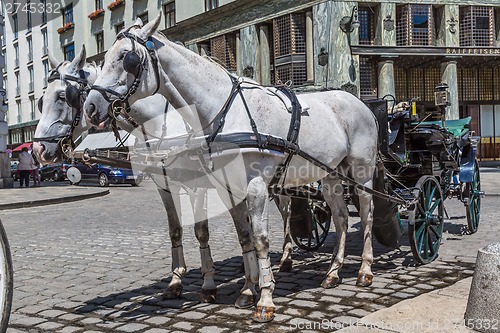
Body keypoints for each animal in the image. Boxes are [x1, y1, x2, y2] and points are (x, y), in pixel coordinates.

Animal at [32, 46, 262, 306]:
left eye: (63, 96)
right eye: (41, 101)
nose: (38, 149)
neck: (165, 124)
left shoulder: (197, 184)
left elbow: (201, 231)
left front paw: (208, 284)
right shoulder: (164, 185)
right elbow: (175, 230)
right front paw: (175, 281)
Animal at [84, 16, 376, 322]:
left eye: (126, 59)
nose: (90, 107)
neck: (224, 113)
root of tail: (360, 102)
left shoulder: (254, 186)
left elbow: (260, 239)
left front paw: (265, 300)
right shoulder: (226, 187)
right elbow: (243, 236)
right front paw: (247, 290)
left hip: (362, 170)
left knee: (366, 214)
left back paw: (364, 271)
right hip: (331, 173)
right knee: (341, 218)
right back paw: (332, 272)